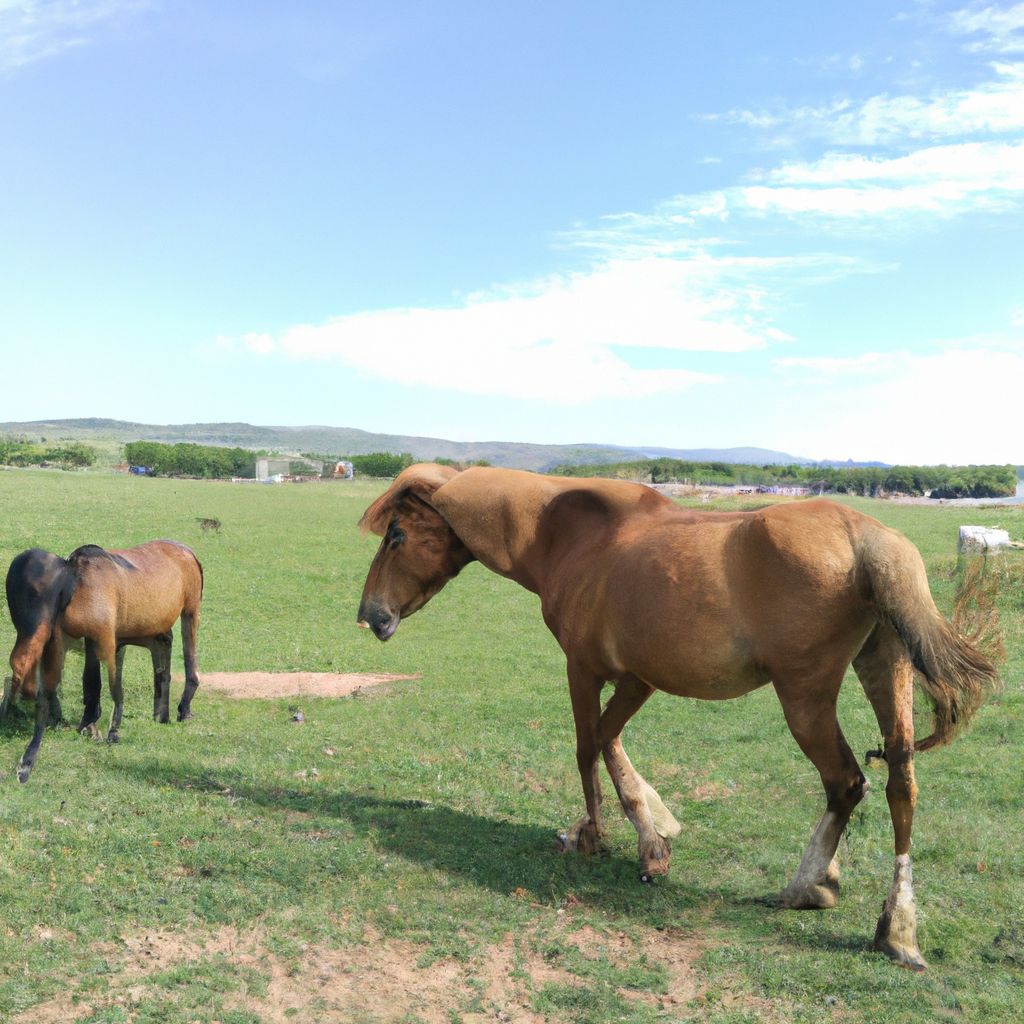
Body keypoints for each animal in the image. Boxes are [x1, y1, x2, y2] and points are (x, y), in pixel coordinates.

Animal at [2, 540, 203, 778]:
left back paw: (183, 709)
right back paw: (161, 715)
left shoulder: (104, 639)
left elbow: (105, 685)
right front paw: (88, 725)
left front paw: (105, 730)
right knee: (163, 665)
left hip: (190, 613)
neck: (73, 583)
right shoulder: (91, 641)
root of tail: (188, 552)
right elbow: (90, 684)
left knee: (190, 663)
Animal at [356, 462, 995, 966]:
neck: (570, 540)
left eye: (396, 535)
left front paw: (598, 837)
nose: (370, 616)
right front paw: (654, 834)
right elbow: (610, 742)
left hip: (806, 695)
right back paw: (895, 928)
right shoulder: (638, 679)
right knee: (900, 784)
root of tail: (865, 534)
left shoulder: (583, 670)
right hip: (886, 669)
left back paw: (805, 888)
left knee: (846, 783)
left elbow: (587, 747)